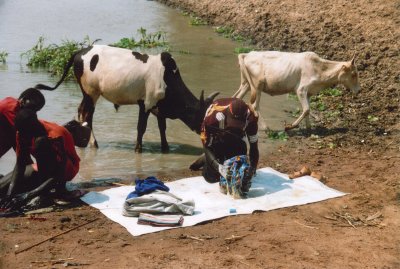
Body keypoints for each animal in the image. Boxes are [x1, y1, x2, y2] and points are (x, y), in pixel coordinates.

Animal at [35, 45, 219, 152]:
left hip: (88, 94)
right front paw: (138, 149)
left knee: (81, 111)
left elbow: (162, 128)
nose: (208, 139)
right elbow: (141, 128)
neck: (168, 77)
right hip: (91, 93)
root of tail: (79, 52)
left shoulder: (158, 108)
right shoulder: (145, 104)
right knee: (88, 115)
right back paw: (94, 143)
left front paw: (165, 147)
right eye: (202, 117)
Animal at [231, 51, 360, 130]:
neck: (319, 68)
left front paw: (309, 127)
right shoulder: (301, 90)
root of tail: (247, 54)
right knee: (254, 106)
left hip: (247, 84)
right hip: (257, 86)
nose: (359, 90)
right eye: (354, 74)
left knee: (237, 98)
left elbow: (308, 109)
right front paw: (290, 126)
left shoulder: (309, 93)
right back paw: (266, 128)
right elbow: (306, 109)